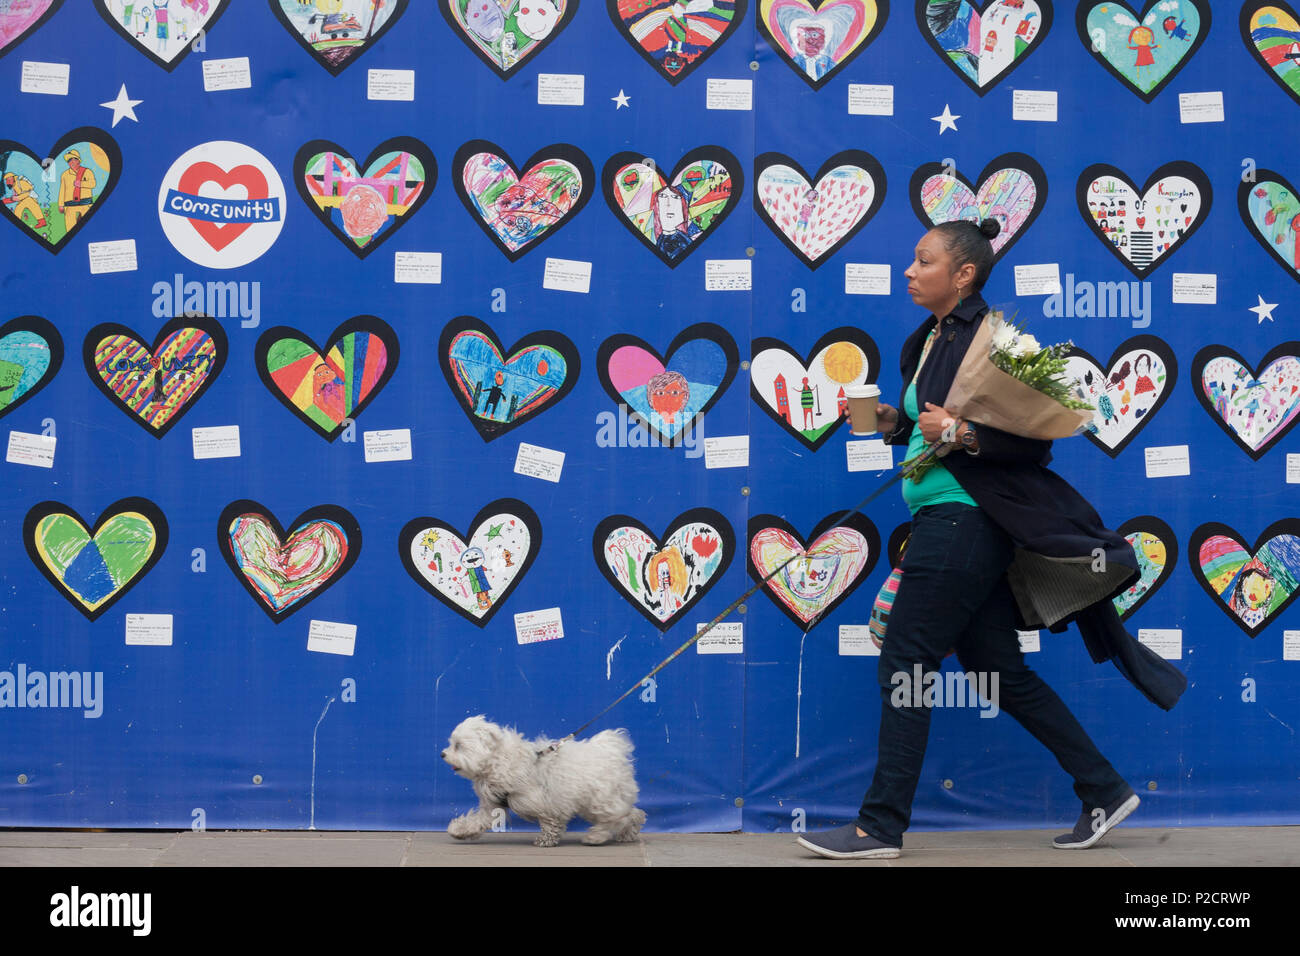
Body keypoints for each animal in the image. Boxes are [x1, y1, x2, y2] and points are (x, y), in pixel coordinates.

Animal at [444, 712, 647, 848]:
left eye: (458, 746)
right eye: (452, 744)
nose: (442, 754)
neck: (498, 760)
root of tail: (613, 751)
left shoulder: (541, 802)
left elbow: (549, 821)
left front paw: (546, 839)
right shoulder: (492, 804)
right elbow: (479, 819)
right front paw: (460, 830)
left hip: (599, 799)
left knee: (615, 817)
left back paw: (596, 837)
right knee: (631, 813)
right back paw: (628, 832)